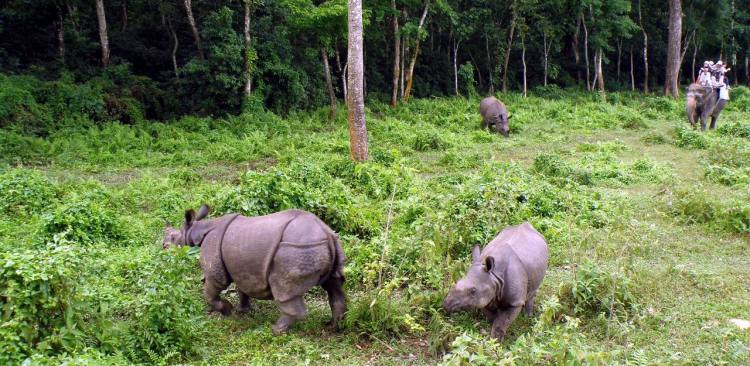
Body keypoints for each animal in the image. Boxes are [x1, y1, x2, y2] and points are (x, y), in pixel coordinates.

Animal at [163, 206, 348, 334]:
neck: (197, 230)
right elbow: (242, 288)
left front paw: (227, 310)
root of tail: (327, 234)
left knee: (284, 289)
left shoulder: (215, 266)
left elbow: (211, 291)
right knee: (334, 284)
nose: (163, 246)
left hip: (297, 250)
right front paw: (242, 311)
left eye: (173, 238)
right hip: (327, 246)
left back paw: (276, 330)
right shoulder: (242, 268)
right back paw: (332, 326)